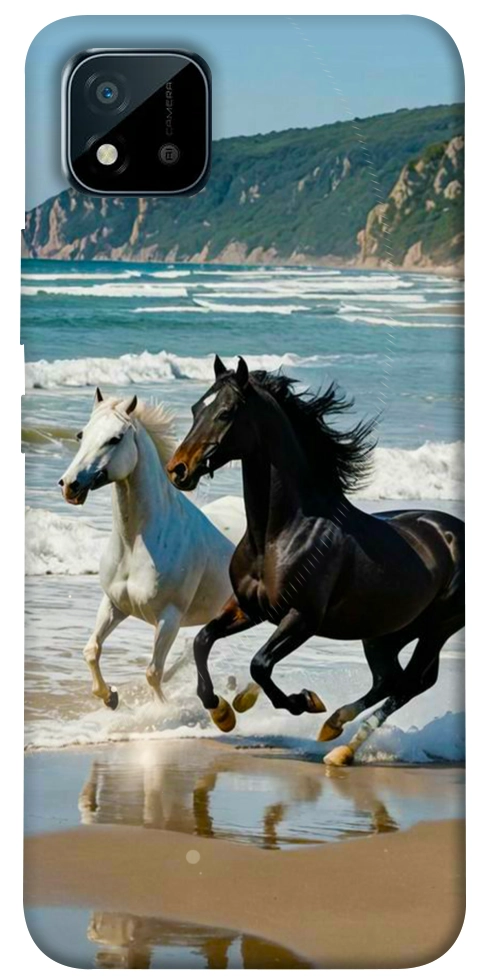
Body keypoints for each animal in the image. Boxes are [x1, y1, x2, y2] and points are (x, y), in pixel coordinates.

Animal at [59, 387, 234, 709]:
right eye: (81, 434)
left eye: (115, 438)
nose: (69, 485)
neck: (135, 544)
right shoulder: (114, 604)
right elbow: (91, 650)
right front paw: (110, 697)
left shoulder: (169, 618)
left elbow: (153, 672)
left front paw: (161, 711)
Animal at [166, 356, 464, 765]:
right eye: (197, 408)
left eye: (226, 412)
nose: (177, 469)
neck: (280, 534)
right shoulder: (249, 608)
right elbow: (202, 640)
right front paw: (223, 711)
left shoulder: (302, 618)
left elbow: (260, 664)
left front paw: (303, 701)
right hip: (385, 632)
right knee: (390, 679)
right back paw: (334, 729)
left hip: (437, 628)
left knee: (410, 683)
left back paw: (340, 746)